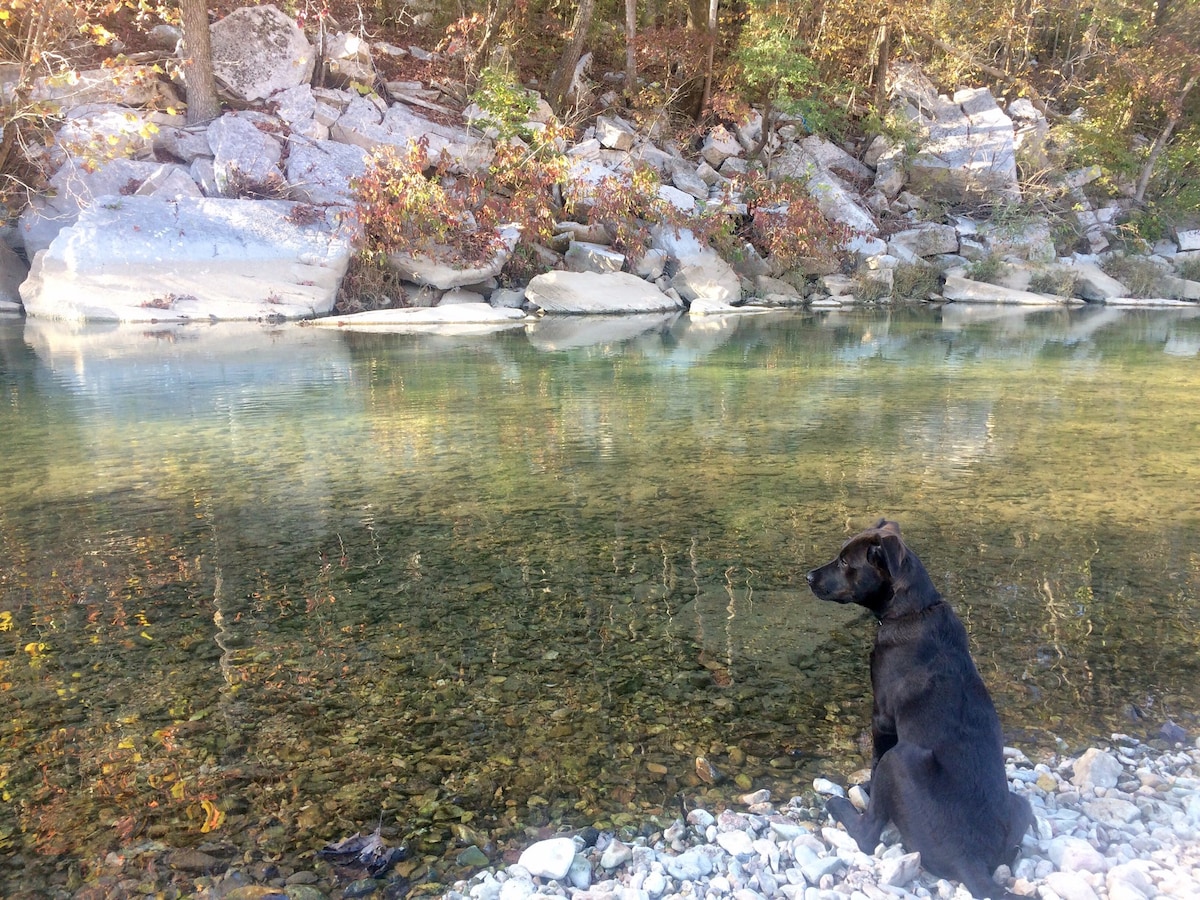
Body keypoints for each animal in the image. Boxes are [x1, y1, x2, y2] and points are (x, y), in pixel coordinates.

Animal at [806, 520, 1032, 900]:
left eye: (844, 562)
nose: (808, 576)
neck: (913, 610)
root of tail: (969, 860)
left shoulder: (882, 717)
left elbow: (874, 761)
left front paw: (867, 787)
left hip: (901, 759)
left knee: (868, 835)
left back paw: (839, 806)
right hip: (1020, 805)